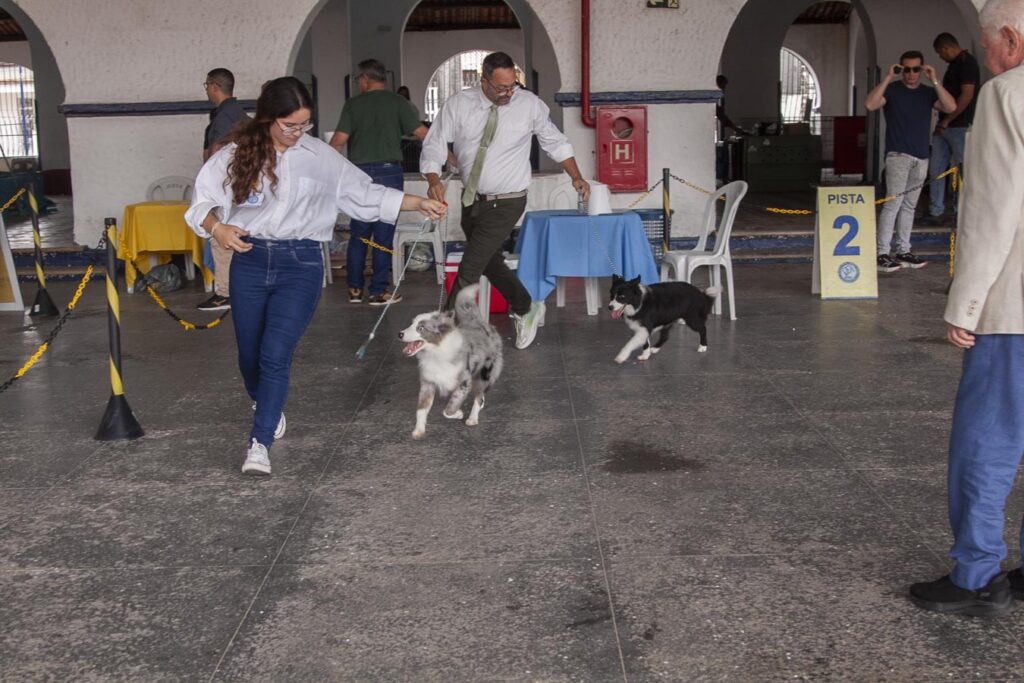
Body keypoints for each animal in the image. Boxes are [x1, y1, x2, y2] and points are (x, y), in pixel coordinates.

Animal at [398, 284, 504, 439]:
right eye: (411, 324)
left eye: (421, 328)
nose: (399, 334)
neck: (435, 353)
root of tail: (479, 322)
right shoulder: (428, 383)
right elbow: (421, 409)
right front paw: (418, 430)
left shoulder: (464, 382)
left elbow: (449, 409)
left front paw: (458, 413)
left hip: (484, 373)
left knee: (478, 396)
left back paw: (472, 418)